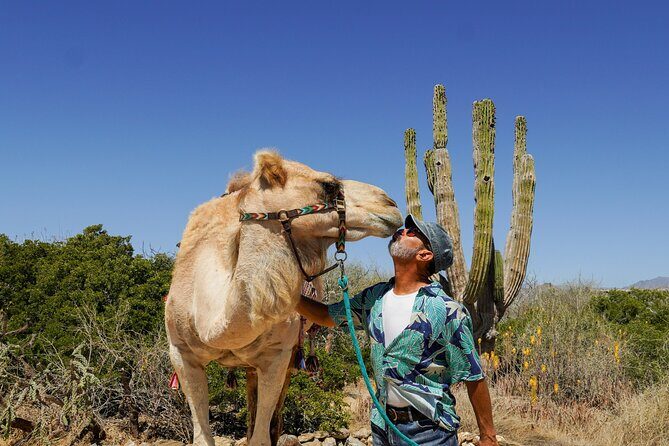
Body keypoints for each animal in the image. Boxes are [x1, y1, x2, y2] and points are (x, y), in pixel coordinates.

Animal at [165, 150, 402, 446]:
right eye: (328, 185)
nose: (390, 204)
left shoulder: (277, 355)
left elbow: (261, 437)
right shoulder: (181, 353)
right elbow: (202, 437)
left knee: (273, 422)